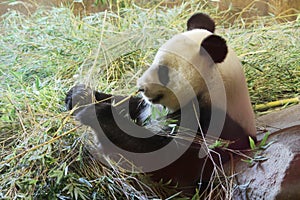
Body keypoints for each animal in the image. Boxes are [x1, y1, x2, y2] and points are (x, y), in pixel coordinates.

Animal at [65, 12, 255, 194]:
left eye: (163, 72)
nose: (140, 87)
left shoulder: (212, 126)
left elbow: (163, 159)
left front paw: (95, 114)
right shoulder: (150, 107)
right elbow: (131, 106)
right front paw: (80, 95)